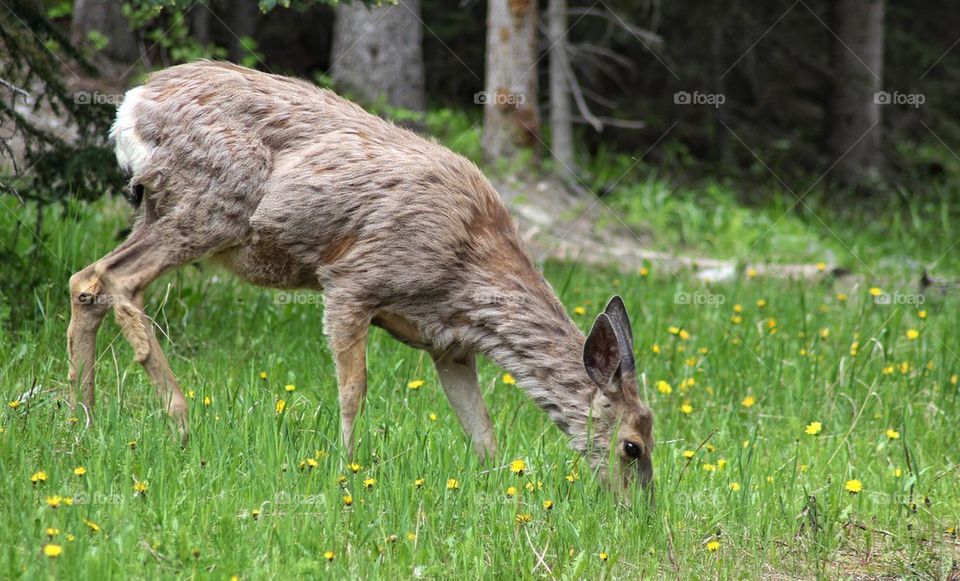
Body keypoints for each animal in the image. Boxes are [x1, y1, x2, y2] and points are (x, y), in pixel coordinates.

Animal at [67, 61, 655, 493]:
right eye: (633, 446)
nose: (638, 511)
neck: (467, 271)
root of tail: (130, 105)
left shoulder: (448, 344)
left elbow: (482, 428)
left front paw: (494, 488)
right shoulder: (353, 280)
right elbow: (354, 389)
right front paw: (346, 469)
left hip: (158, 209)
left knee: (86, 281)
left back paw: (83, 420)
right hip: (213, 205)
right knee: (119, 279)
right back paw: (181, 421)